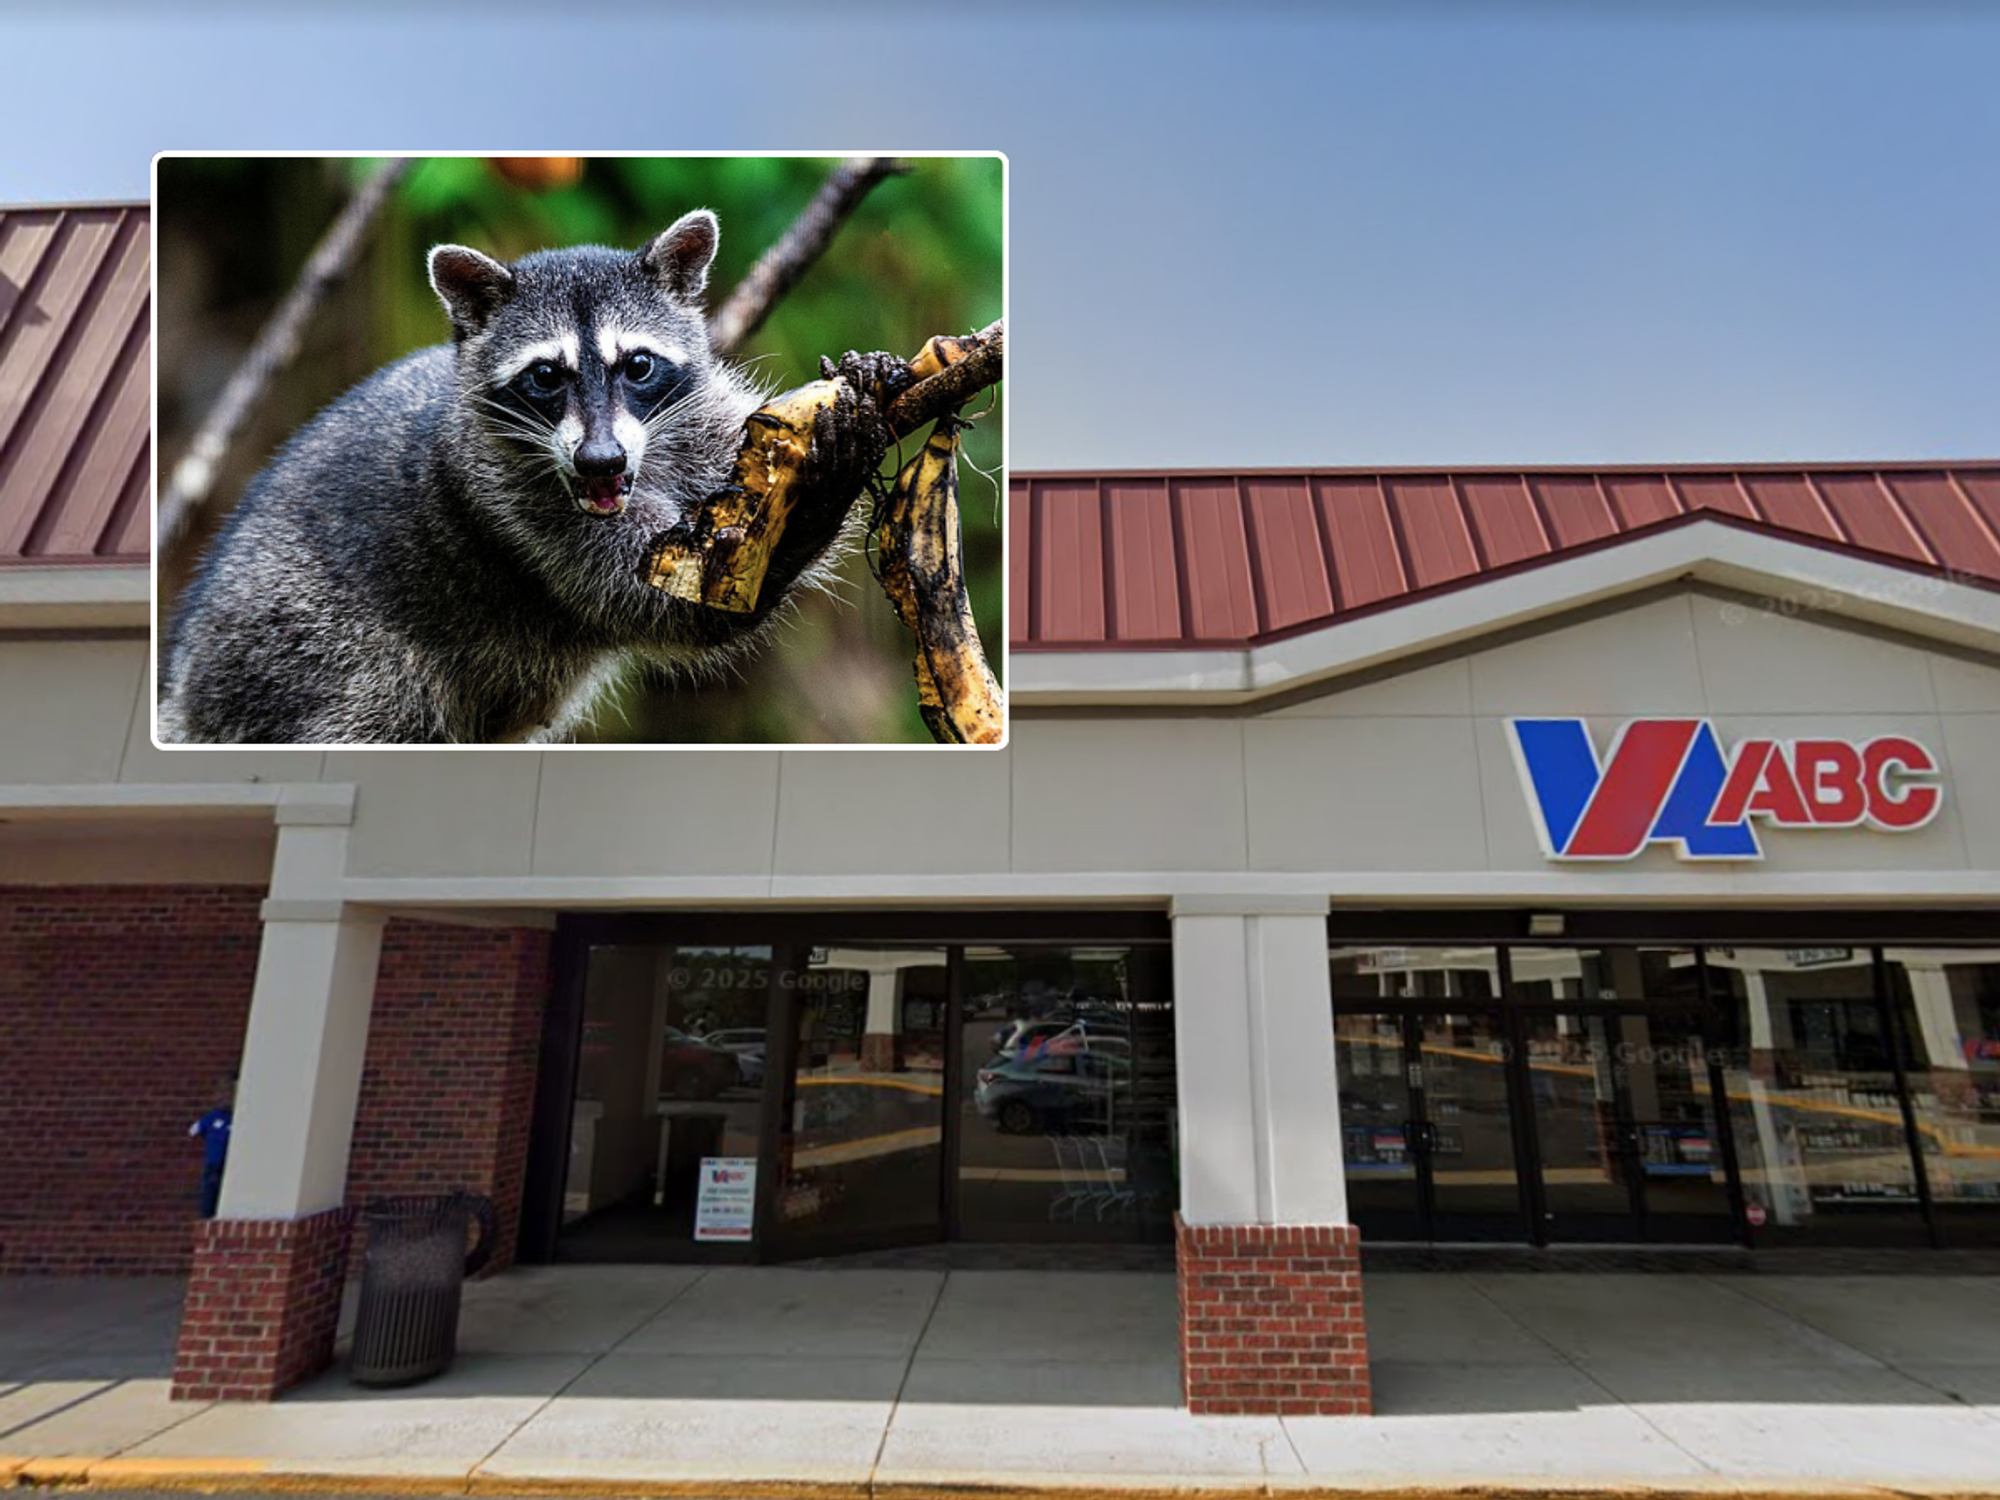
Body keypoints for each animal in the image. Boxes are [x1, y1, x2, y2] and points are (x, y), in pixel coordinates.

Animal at [159, 210, 897, 744]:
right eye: (546, 376)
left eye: (637, 365)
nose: (600, 461)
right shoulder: (505, 506)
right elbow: (681, 603)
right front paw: (821, 497)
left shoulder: (702, 419)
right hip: (313, 657)